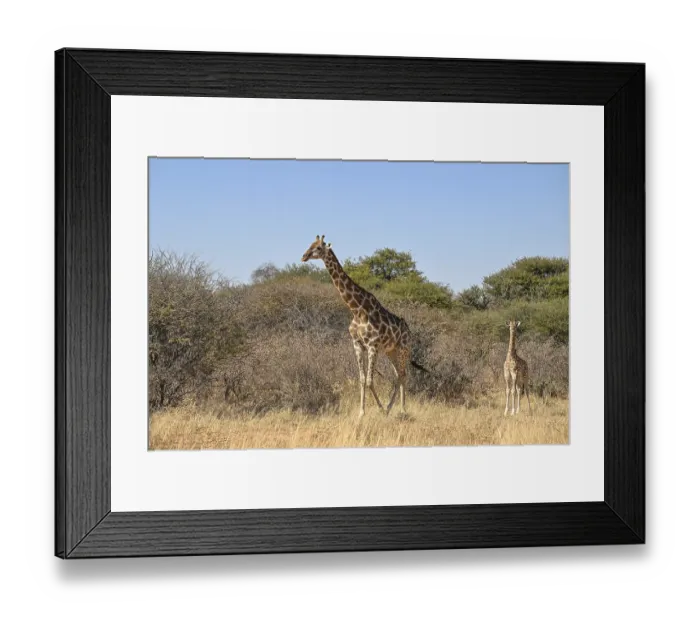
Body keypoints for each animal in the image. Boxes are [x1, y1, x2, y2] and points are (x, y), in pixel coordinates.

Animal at [301, 235, 427, 419]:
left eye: (318, 247)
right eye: (310, 244)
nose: (304, 256)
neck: (357, 309)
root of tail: (409, 332)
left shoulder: (372, 346)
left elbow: (369, 381)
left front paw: (379, 408)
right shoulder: (358, 344)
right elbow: (361, 380)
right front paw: (362, 412)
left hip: (403, 349)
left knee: (403, 375)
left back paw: (402, 409)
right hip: (391, 351)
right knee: (398, 374)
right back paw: (391, 407)